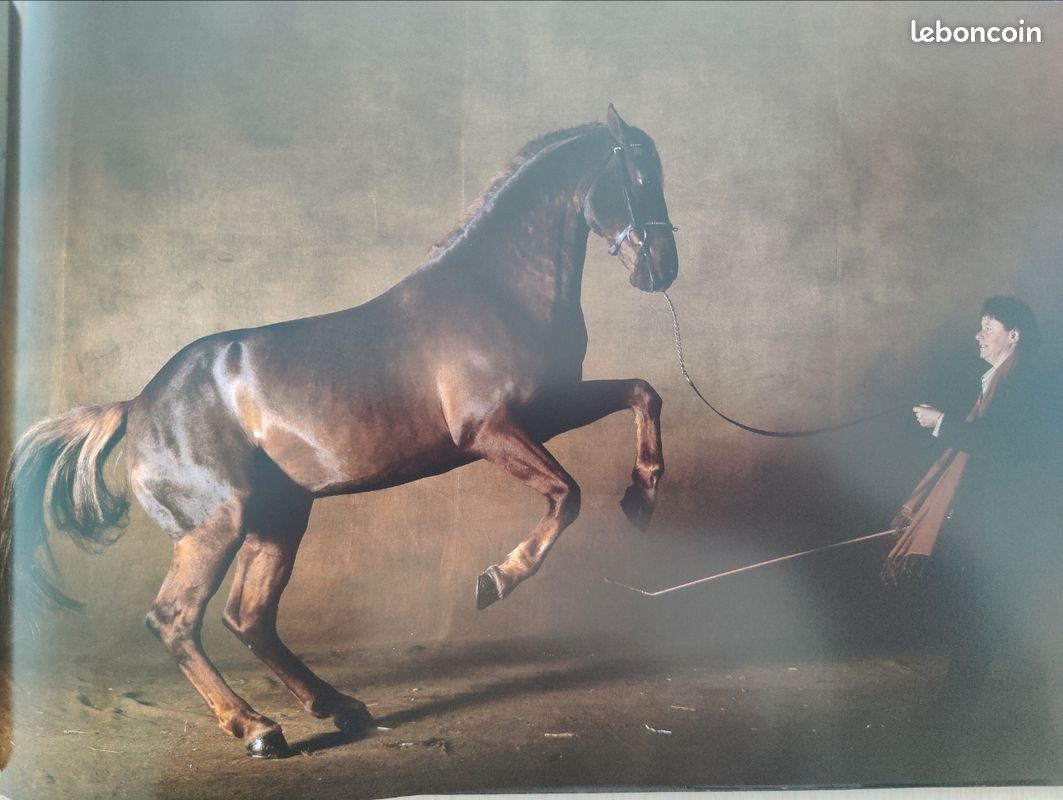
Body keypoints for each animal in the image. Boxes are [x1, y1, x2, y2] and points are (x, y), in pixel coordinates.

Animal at [0, 105, 679, 758]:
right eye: (641, 175)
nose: (662, 269)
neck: (495, 292)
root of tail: (137, 405)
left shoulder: (548, 411)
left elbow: (642, 392)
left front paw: (643, 495)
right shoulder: (489, 430)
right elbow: (567, 495)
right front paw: (498, 580)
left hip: (279, 521)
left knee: (249, 618)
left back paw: (340, 708)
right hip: (216, 527)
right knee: (175, 619)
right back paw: (255, 728)